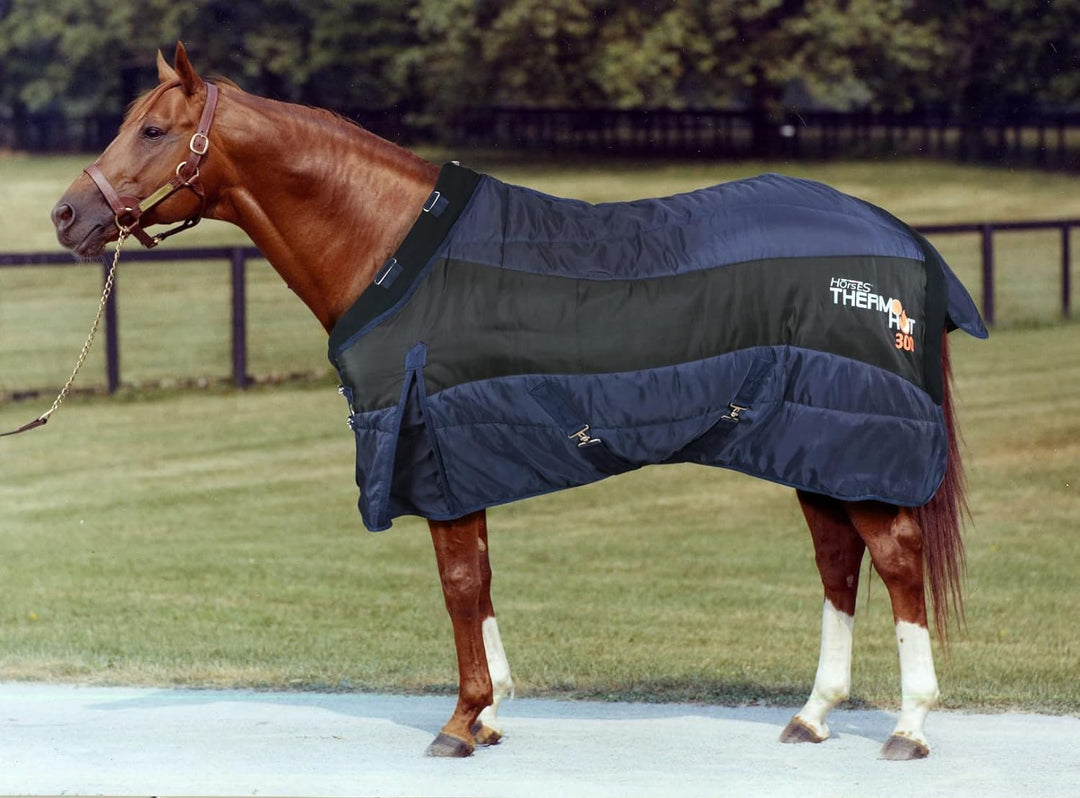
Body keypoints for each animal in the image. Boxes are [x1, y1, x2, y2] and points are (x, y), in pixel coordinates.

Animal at [51, 43, 986, 761]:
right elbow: (482, 578)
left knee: (896, 557)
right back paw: (814, 715)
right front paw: (493, 711)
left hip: (854, 444)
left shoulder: (432, 447)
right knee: (838, 560)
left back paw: (909, 727)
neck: (392, 244)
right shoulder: (463, 453)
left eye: (154, 129)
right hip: (814, 445)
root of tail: (905, 244)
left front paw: (463, 721)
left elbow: (460, 583)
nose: (67, 214)